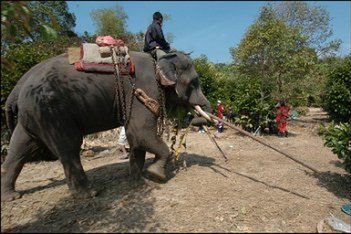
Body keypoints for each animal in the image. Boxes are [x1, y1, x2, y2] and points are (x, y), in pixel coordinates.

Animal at [1, 50, 213, 201]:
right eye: (194, 83)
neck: (159, 59)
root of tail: (17, 89)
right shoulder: (145, 89)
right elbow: (140, 132)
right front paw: (156, 176)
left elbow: (136, 138)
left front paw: (138, 180)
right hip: (50, 110)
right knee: (69, 147)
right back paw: (89, 194)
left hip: (32, 114)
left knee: (20, 149)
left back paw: (12, 196)